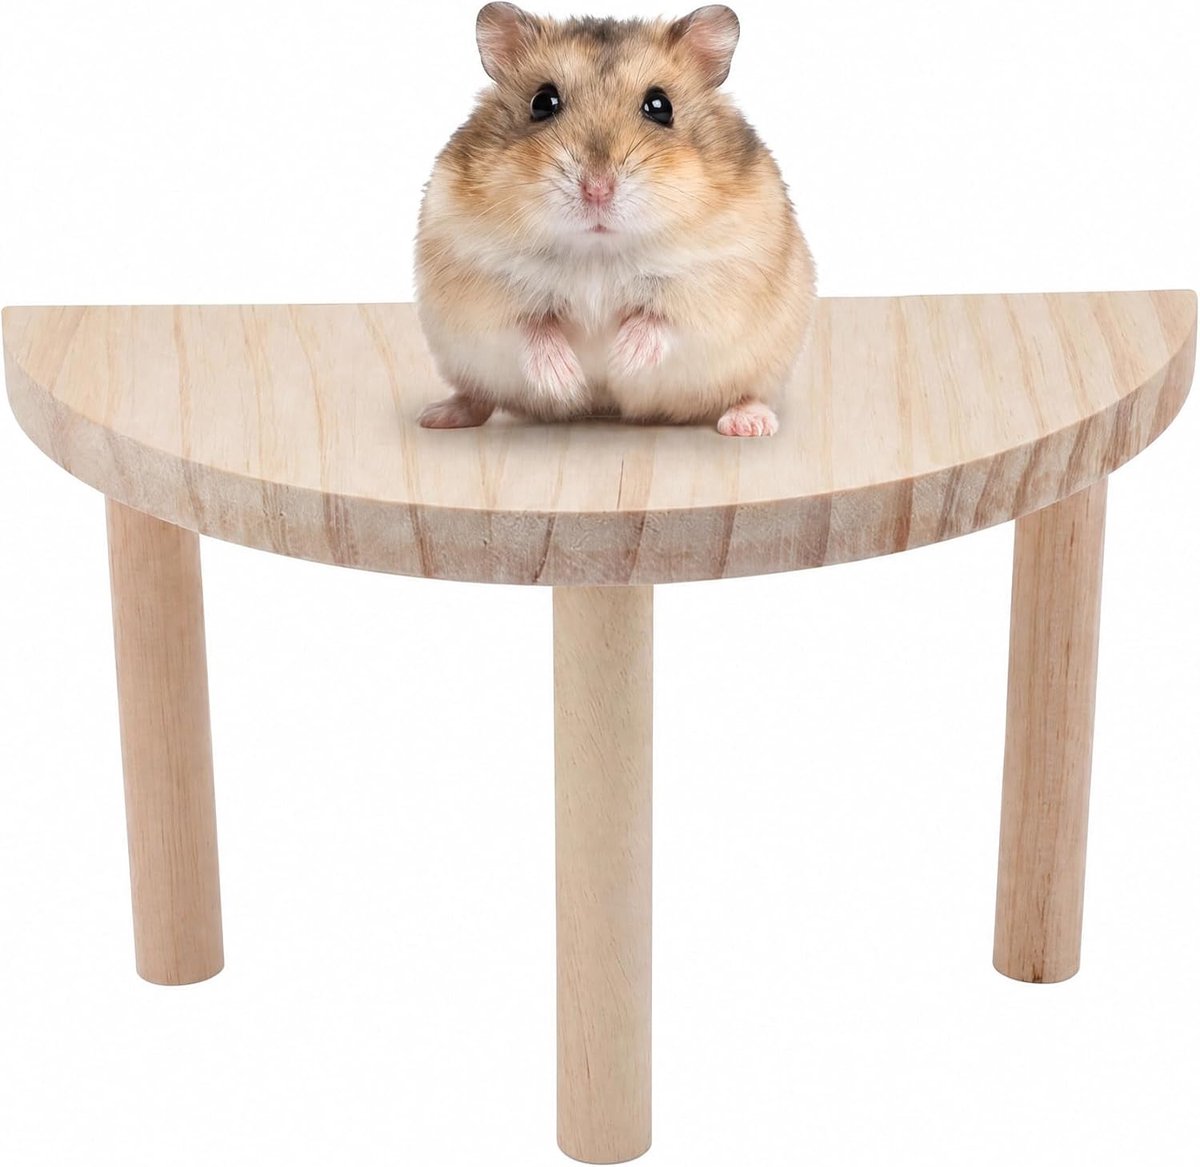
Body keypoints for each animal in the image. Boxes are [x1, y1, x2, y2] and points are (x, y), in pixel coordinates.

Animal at [414, 3, 815, 437]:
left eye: (660, 106)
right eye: (542, 102)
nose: (597, 189)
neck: (598, 250)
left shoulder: (716, 281)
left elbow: (658, 320)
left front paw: (620, 362)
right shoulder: (481, 281)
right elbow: (531, 327)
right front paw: (567, 379)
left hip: (771, 360)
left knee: (751, 392)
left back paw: (748, 424)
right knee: (478, 395)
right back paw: (438, 416)